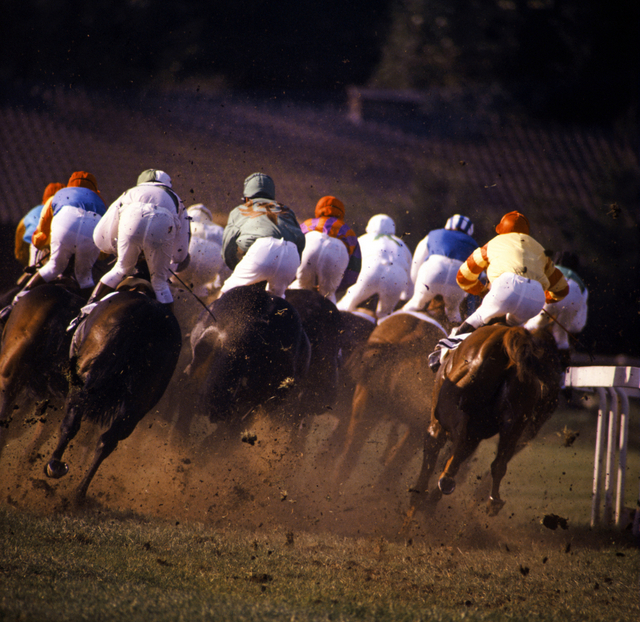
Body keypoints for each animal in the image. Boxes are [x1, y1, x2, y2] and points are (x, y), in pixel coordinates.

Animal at [44, 286, 182, 504]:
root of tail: (147, 313)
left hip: (85, 378)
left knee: (71, 422)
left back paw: (55, 466)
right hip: (138, 402)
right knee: (108, 440)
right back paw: (79, 492)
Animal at [408, 322, 564, 520]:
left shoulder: (438, 427)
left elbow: (425, 474)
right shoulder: (478, 434)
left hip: (451, 410)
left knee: (459, 438)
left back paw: (447, 481)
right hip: (516, 421)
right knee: (499, 462)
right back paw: (493, 500)